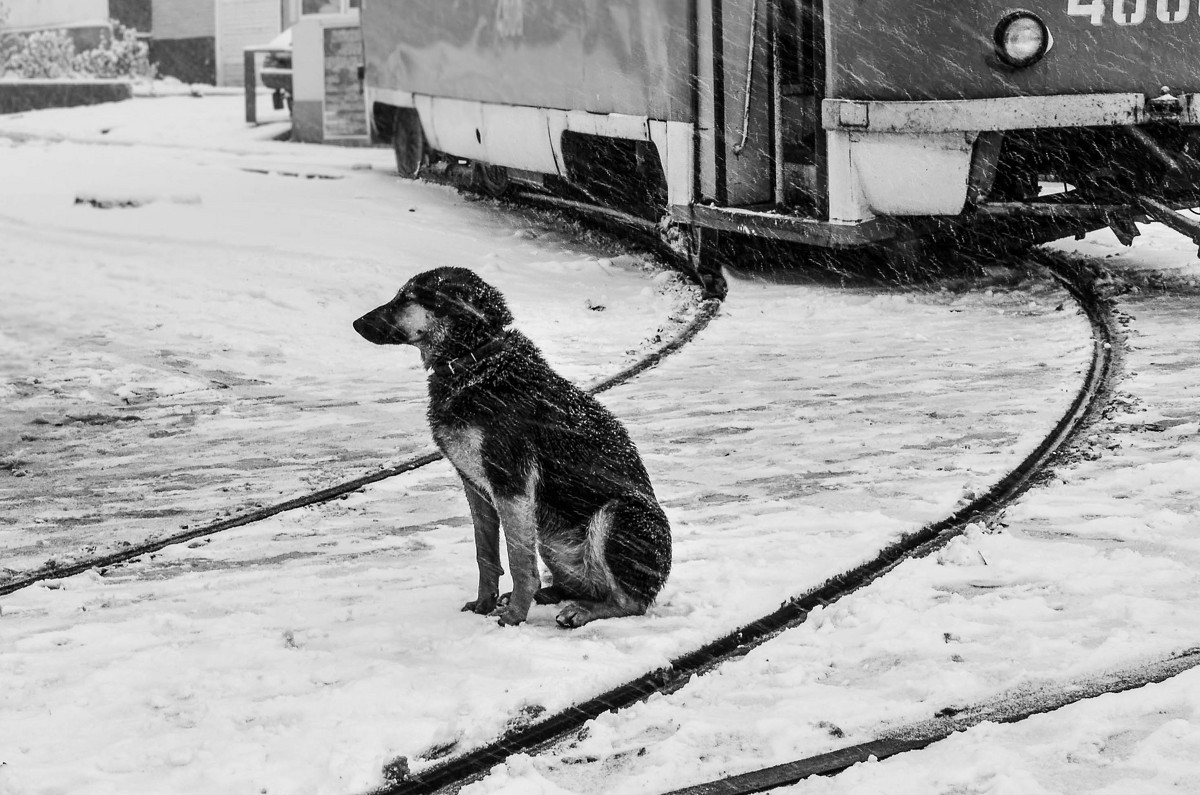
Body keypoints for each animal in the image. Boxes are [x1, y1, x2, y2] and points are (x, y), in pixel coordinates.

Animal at [355, 267, 676, 629]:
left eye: (406, 298)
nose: (355, 323)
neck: (475, 360)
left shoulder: (511, 485)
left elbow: (519, 560)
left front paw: (513, 617)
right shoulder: (476, 487)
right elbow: (486, 554)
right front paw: (484, 604)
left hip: (618, 514)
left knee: (629, 602)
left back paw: (580, 611)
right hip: (549, 532)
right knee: (583, 586)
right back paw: (551, 595)